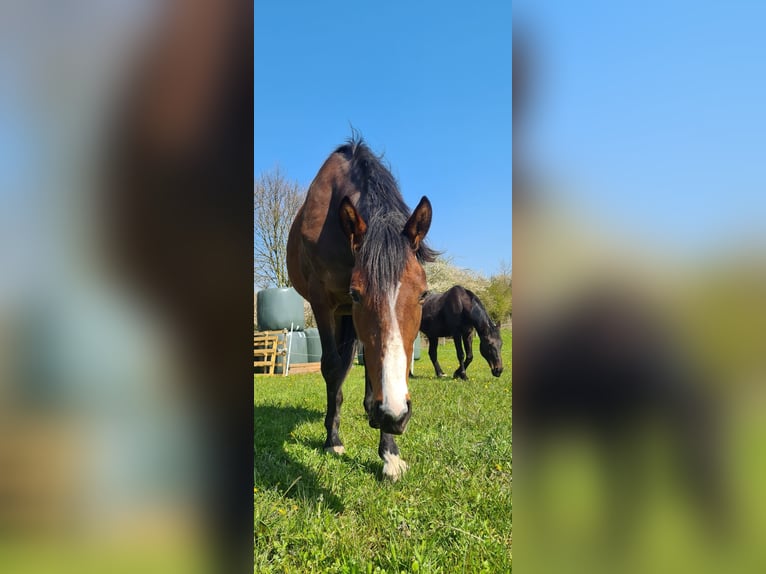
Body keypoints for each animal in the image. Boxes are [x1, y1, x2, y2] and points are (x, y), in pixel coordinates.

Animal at [286, 137, 436, 484]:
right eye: (356, 294)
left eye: (423, 295)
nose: (394, 415)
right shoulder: (323, 301)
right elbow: (332, 367)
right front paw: (333, 440)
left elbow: (371, 365)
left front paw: (390, 453)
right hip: (338, 313)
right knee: (341, 367)